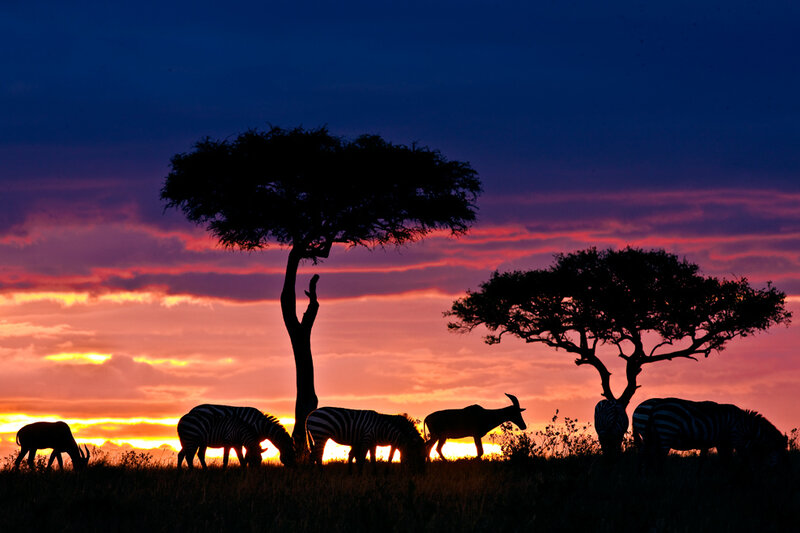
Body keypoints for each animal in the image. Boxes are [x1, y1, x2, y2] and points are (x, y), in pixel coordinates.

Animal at [635, 397, 787, 466]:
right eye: (781, 452)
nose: (783, 472)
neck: (746, 425)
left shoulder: (720, 443)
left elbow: (722, 461)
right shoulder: (735, 438)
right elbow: (740, 459)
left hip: (652, 437)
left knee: (644, 457)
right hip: (666, 432)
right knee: (658, 460)